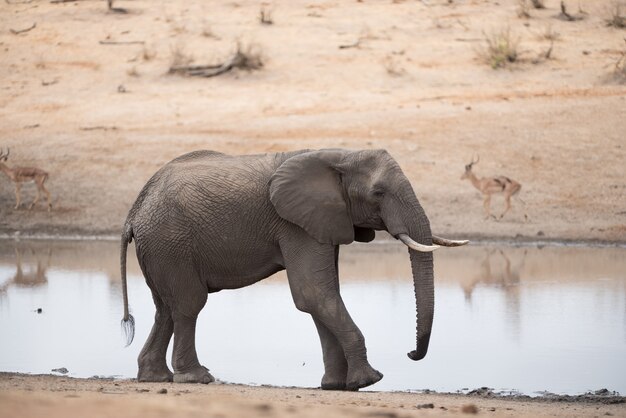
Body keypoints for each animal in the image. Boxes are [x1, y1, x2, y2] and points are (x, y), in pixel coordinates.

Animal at [119, 149, 466, 390]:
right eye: (378, 193)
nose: (411, 354)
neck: (340, 155)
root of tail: (134, 212)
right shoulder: (295, 224)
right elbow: (314, 295)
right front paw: (367, 381)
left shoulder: (324, 221)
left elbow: (322, 296)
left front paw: (335, 386)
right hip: (170, 241)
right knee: (188, 305)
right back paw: (197, 377)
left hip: (160, 247)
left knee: (165, 309)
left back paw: (155, 377)